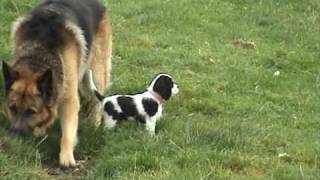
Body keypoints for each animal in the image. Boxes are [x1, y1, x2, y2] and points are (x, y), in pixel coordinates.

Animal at [2, 0, 111, 168]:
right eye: (12, 108)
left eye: (31, 111)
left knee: (97, 99)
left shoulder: (69, 99)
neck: (38, 55)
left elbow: (67, 132)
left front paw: (66, 157)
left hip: (96, 71)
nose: (13, 139)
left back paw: (94, 123)